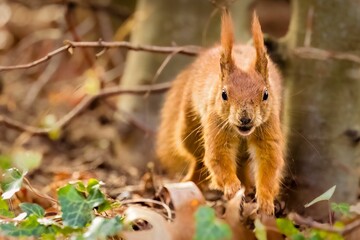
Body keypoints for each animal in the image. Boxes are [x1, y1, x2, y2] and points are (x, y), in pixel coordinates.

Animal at [156, 10, 286, 215]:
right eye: (224, 94)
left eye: (266, 94)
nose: (245, 118)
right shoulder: (216, 124)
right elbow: (218, 157)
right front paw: (232, 187)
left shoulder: (269, 127)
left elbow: (270, 161)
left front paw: (265, 200)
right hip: (188, 126)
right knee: (198, 158)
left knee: (242, 163)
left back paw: (247, 187)